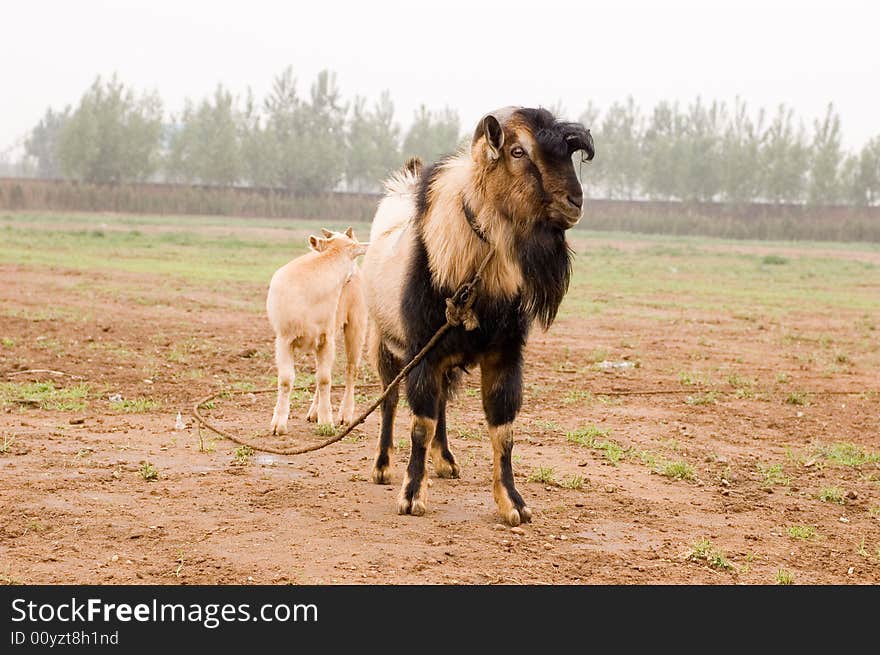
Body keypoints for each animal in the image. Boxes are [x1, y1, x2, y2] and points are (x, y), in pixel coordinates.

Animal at [360, 109, 596, 528]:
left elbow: (503, 430)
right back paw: (383, 466)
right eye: (518, 151)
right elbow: (420, 425)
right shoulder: (422, 352)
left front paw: (513, 503)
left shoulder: (504, 355)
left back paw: (446, 461)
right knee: (389, 400)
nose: (575, 201)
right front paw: (411, 495)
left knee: (441, 404)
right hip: (384, 343)